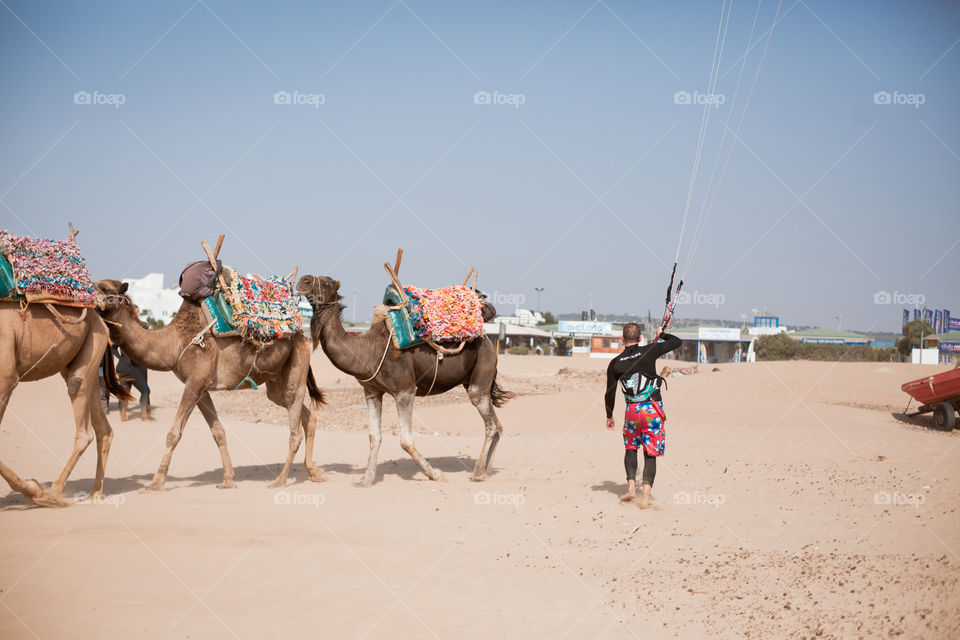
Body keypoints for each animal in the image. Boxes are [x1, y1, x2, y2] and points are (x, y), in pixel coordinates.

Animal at [0, 302, 131, 508]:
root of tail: (100, 318)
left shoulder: (6, 379)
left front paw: (34, 490)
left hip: (93, 341)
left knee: (82, 415)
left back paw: (54, 491)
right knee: (103, 429)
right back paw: (95, 492)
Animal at [95, 280, 326, 490]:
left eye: (104, 288)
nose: (89, 299)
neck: (173, 343)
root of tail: (300, 334)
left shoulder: (195, 382)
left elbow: (173, 434)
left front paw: (156, 482)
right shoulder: (200, 387)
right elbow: (218, 432)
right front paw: (228, 479)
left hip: (297, 364)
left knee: (294, 430)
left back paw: (280, 480)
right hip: (276, 382)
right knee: (306, 416)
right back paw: (314, 473)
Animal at [298, 276, 510, 484]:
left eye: (326, 282)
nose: (303, 280)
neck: (368, 350)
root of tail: (488, 339)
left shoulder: (405, 390)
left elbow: (406, 440)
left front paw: (435, 474)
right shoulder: (372, 392)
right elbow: (374, 436)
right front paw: (366, 478)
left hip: (481, 371)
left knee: (490, 422)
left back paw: (478, 472)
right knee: (498, 426)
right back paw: (486, 471)